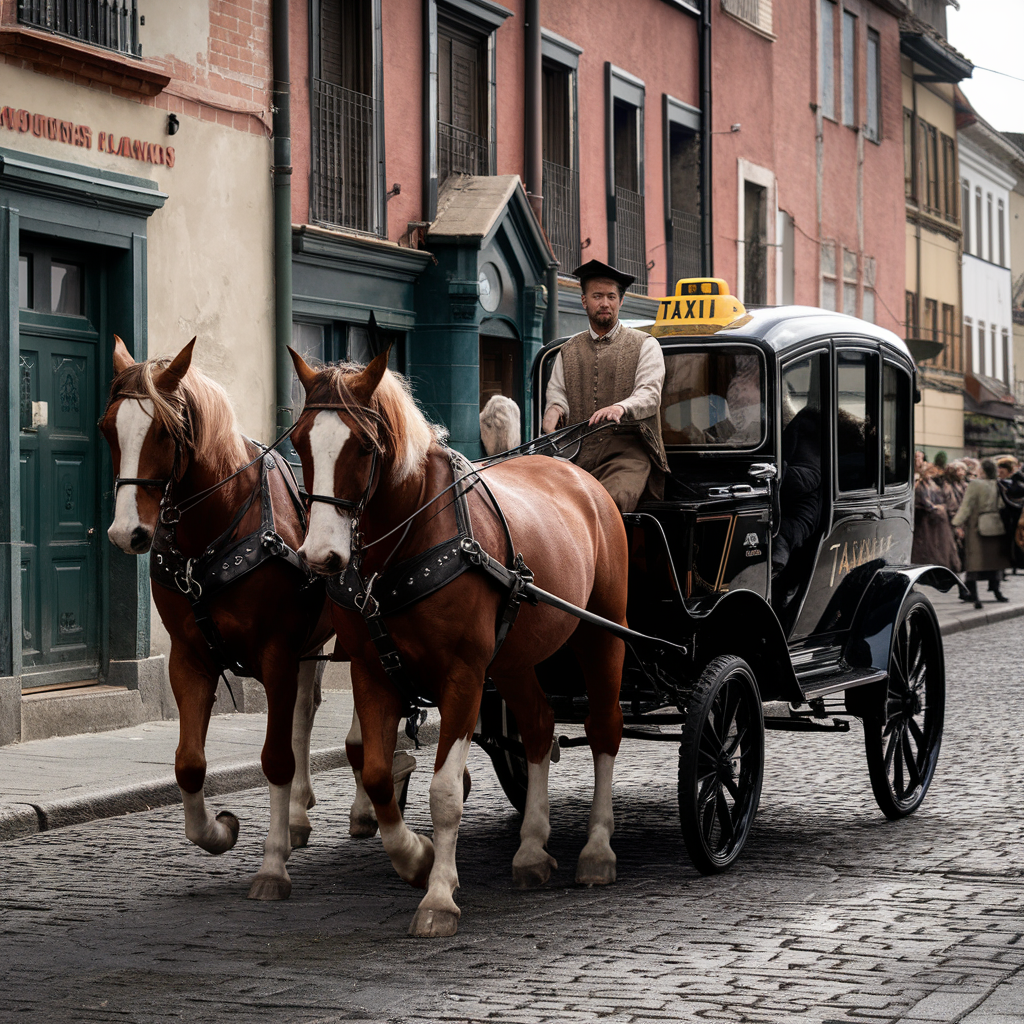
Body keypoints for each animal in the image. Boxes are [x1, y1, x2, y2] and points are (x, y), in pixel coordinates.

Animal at [100, 335, 331, 897]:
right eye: (107, 428)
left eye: (164, 432)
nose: (125, 533)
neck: (221, 522)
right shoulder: (189, 656)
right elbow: (188, 763)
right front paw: (219, 832)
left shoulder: (276, 653)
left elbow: (274, 759)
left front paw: (271, 866)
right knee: (305, 713)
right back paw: (298, 817)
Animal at [288, 346, 630, 937]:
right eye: (302, 441)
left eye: (363, 445)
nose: (321, 556)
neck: (405, 547)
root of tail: (579, 474)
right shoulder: (371, 671)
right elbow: (376, 775)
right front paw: (415, 858)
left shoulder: (464, 676)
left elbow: (445, 792)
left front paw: (439, 895)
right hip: (515, 658)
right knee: (538, 726)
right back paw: (532, 848)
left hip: (601, 632)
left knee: (604, 728)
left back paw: (597, 849)